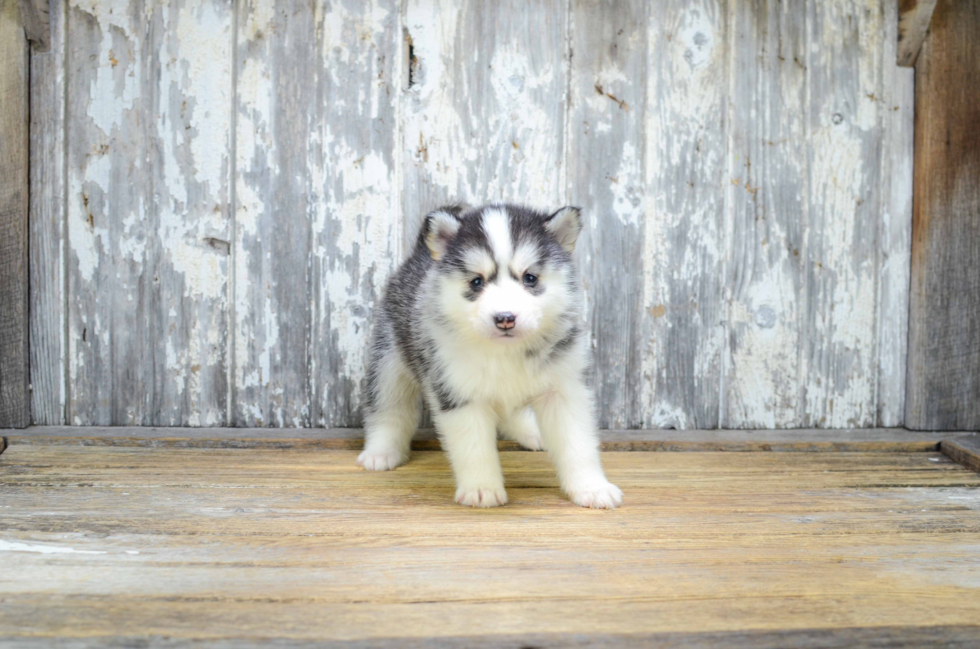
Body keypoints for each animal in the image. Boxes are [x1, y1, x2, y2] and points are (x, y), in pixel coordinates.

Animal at [358, 201, 620, 506]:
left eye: (530, 278)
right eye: (476, 282)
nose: (505, 318)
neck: (504, 351)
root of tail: (419, 254)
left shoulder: (564, 389)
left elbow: (577, 444)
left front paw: (591, 487)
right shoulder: (459, 393)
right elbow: (474, 448)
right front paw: (481, 488)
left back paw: (531, 431)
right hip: (389, 361)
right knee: (389, 409)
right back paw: (381, 451)